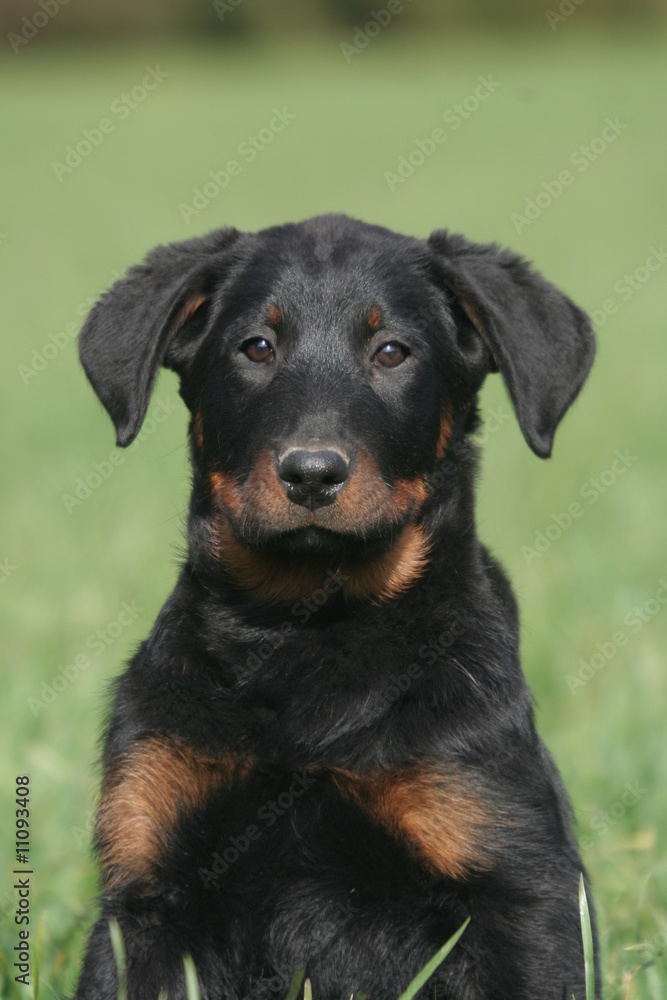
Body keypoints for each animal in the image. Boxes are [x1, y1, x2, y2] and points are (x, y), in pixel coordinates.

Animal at [74, 215, 600, 996]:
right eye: (256, 347)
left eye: (392, 352)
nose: (312, 473)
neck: (311, 624)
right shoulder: (145, 888)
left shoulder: (516, 883)